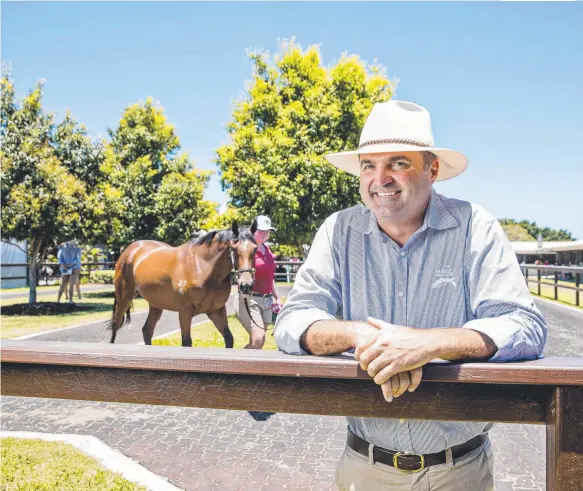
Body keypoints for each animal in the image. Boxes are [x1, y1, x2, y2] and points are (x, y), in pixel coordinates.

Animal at [109, 222, 258, 346]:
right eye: (234, 248)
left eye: (255, 249)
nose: (246, 285)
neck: (202, 266)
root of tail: (129, 251)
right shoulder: (185, 311)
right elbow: (186, 342)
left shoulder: (216, 310)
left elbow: (229, 338)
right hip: (124, 298)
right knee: (116, 325)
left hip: (156, 304)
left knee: (147, 330)